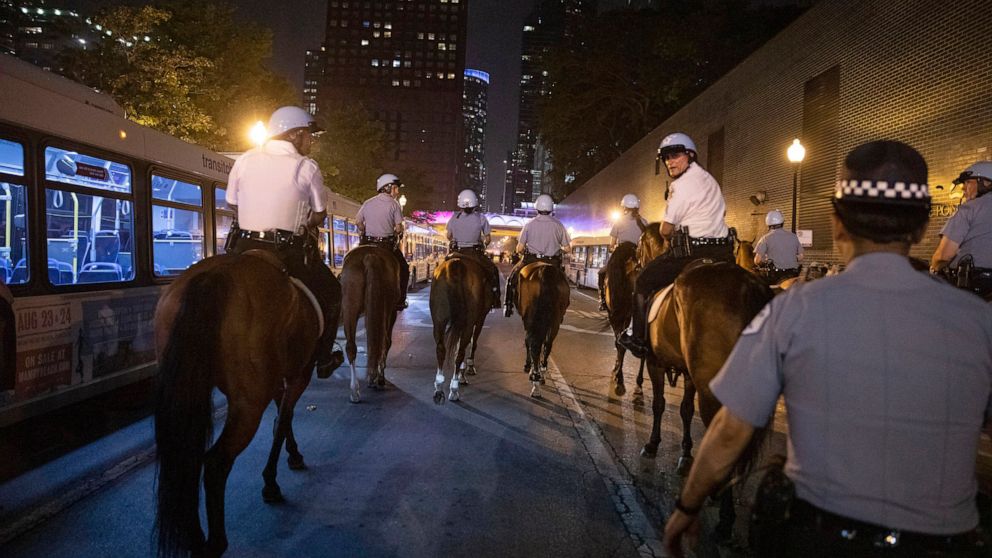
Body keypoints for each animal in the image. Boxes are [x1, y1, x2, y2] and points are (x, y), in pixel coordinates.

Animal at [153, 254, 340, 558]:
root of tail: (212, 277)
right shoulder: (299, 373)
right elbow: (283, 418)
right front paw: (272, 481)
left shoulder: (277, 379)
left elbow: (282, 416)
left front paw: (291, 456)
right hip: (249, 402)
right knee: (215, 463)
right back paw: (214, 544)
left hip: (185, 390)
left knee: (186, 459)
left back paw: (195, 540)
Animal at [340, 247, 400, 404]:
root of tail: (369, 255)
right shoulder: (392, 312)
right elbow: (385, 342)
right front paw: (379, 376)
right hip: (387, 308)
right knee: (384, 342)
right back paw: (377, 378)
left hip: (349, 305)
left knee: (351, 347)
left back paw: (355, 391)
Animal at [430, 256, 492, 404]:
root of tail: (456, 265)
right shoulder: (480, 319)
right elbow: (473, 343)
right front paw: (468, 369)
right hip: (469, 322)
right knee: (460, 353)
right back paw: (454, 389)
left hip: (439, 320)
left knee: (441, 349)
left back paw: (439, 388)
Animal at [516, 262, 568, 398]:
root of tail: (545, 270)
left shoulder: (527, 321)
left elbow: (528, 342)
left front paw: (528, 367)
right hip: (555, 320)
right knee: (547, 345)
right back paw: (540, 375)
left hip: (530, 318)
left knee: (534, 344)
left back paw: (535, 380)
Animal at [600, 244, 640, 398]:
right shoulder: (616, 315)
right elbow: (619, 344)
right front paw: (618, 376)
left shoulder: (624, 316)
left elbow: (620, 344)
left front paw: (619, 377)